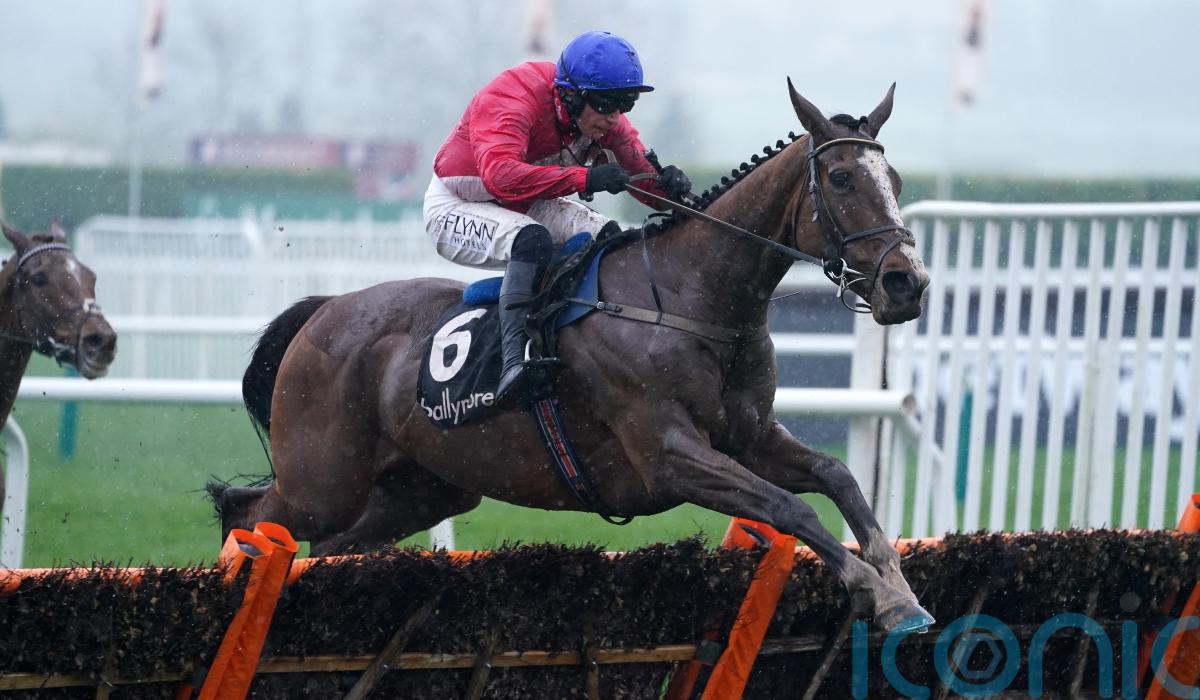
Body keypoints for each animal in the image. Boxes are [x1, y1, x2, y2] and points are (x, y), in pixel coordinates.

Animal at [211, 81, 934, 632]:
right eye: (840, 177)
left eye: (895, 179)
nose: (908, 283)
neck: (691, 299)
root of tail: (324, 309)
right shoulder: (668, 453)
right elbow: (791, 508)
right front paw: (879, 595)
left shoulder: (751, 437)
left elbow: (837, 477)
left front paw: (900, 588)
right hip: (321, 479)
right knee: (250, 516)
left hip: (417, 489)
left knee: (330, 548)